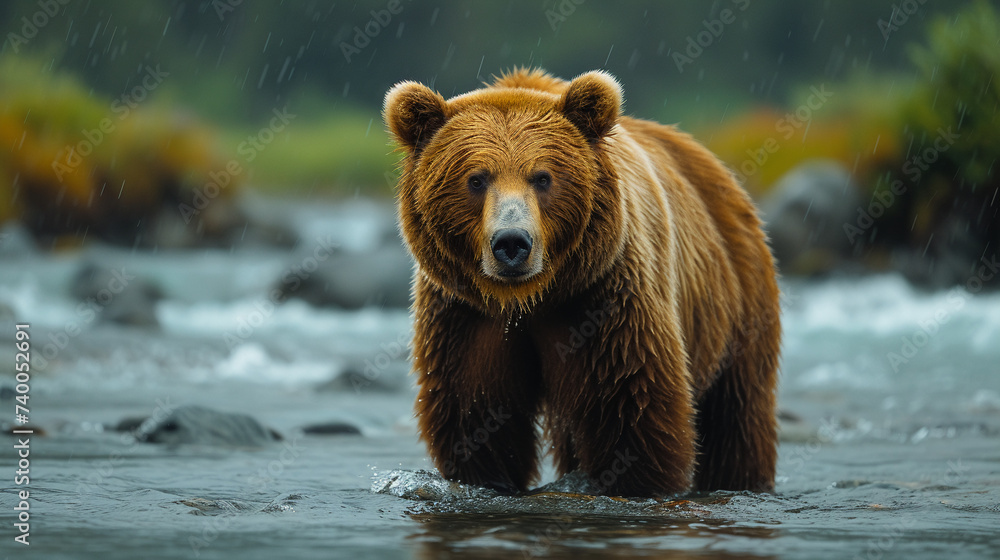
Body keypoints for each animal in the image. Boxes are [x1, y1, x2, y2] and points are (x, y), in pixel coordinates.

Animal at [382, 69, 780, 494]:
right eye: (476, 179)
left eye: (542, 177)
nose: (512, 243)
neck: (530, 299)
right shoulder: (464, 316)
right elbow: (475, 418)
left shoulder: (604, 301)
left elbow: (633, 410)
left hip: (737, 300)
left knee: (737, 417)